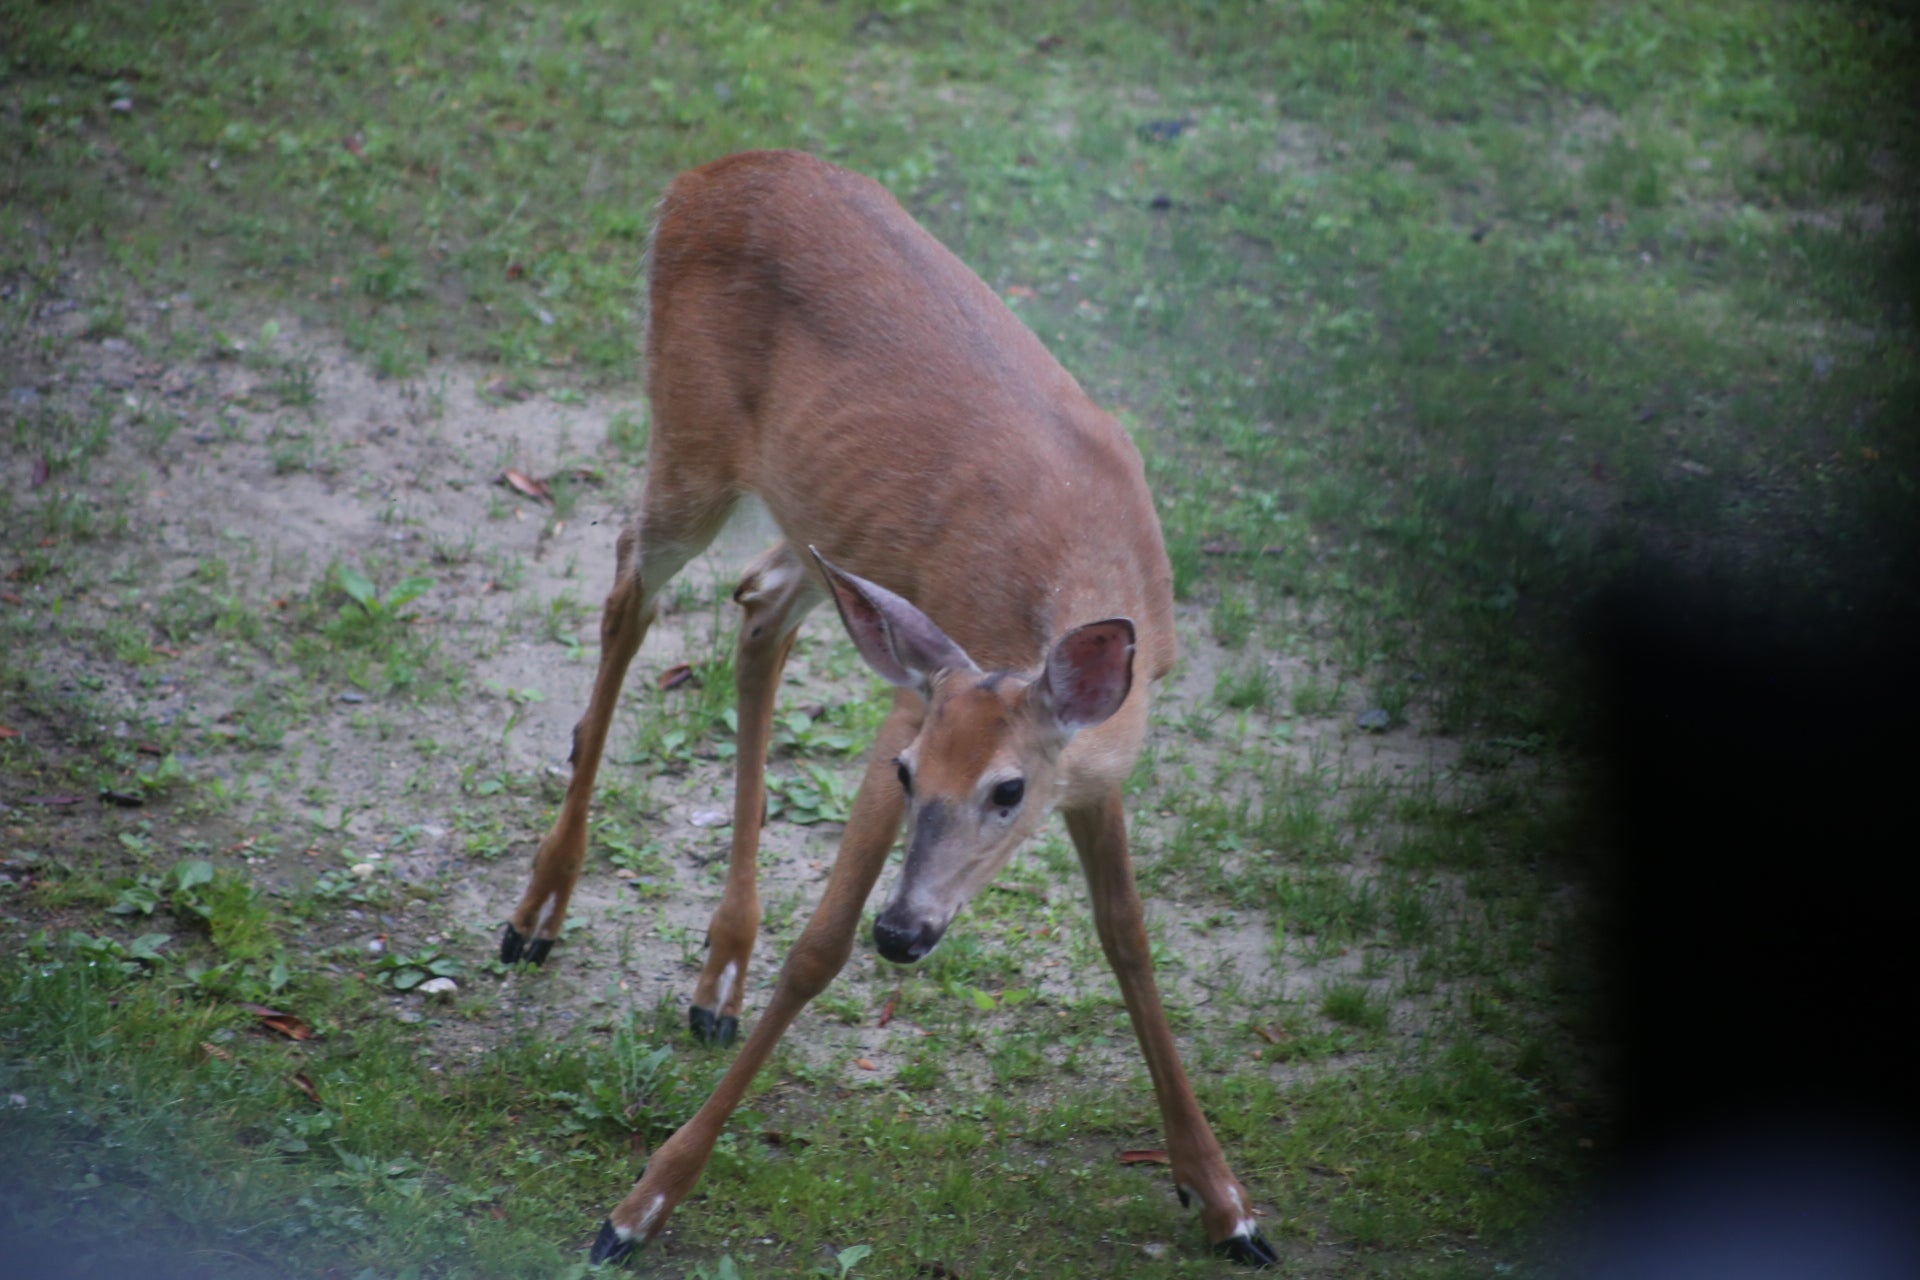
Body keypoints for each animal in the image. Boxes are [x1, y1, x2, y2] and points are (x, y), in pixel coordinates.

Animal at [500, 149, 1278, 1269]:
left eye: (1010, 790)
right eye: (914, 775)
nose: (906, 933)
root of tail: (703, 174)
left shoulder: (1094, 774)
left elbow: (1129, 939)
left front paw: (1224, 1199)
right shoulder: (907, 712)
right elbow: (821, 946)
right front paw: (640, 1203)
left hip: (827, 530)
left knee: (759, 603)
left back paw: (716, 978)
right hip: (692, 439)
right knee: (627, 586)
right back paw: (538, 912)